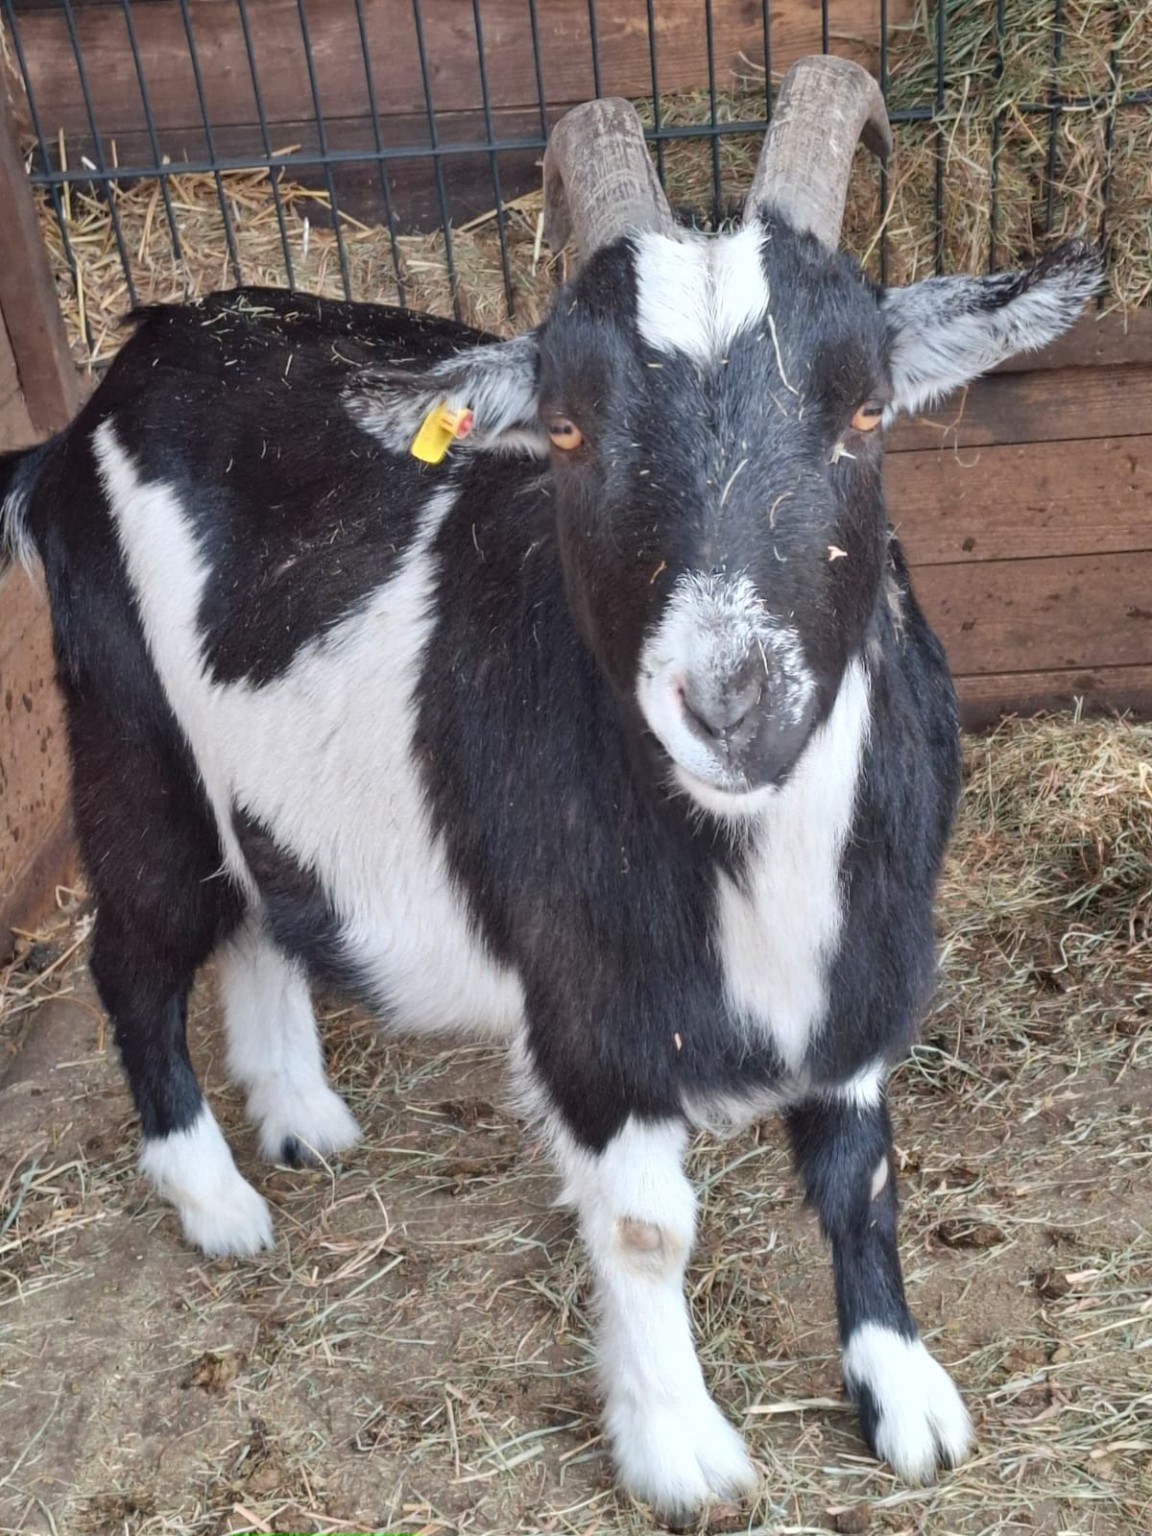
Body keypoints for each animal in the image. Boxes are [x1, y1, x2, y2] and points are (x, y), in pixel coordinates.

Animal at [0, 57, 1099, 1522]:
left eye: (868, 410)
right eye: (569, 430)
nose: (732, 699)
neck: (752, 862)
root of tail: (100, 400)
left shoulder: (866, 966)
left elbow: (863, 1173)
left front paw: (904, 1394)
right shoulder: (588, 1012)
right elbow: (644, 1225)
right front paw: (681, 1451)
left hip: (257, 787)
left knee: (263, 915)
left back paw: (301, 1118)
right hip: (133, 747)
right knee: (132, 955)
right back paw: (216, 1200)